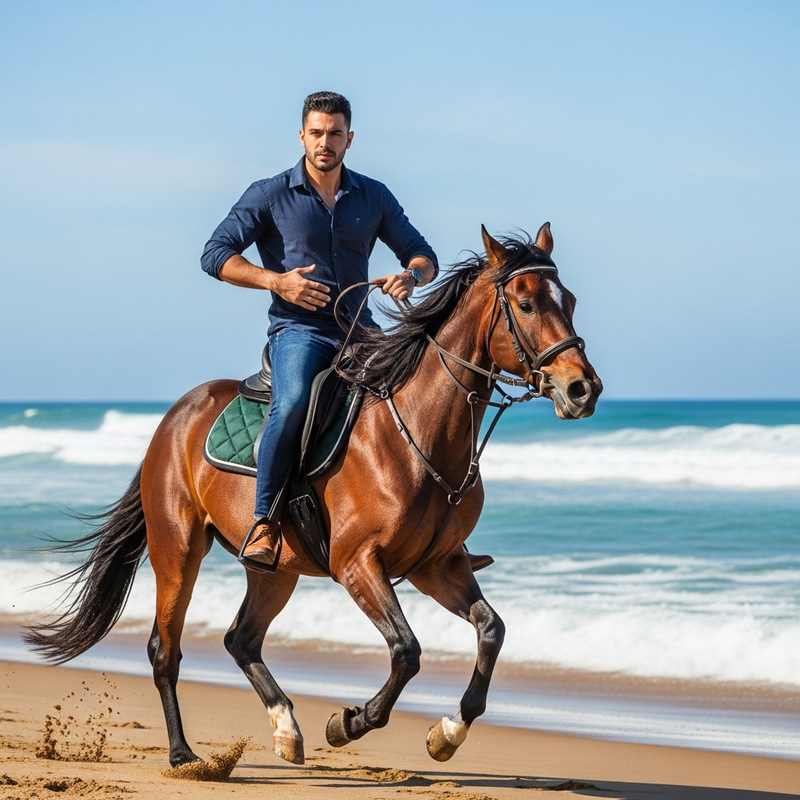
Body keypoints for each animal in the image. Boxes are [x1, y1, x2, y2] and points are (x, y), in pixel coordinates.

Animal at [25, 223, 602, 768]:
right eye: (525, 303)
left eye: (570, 300)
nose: (583, 389)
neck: (416, 431)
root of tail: (173, 418)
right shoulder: (357, 562)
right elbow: (406, 650)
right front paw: (349, 723)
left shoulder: (436, 565)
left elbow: (490, 631)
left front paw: (447, 733)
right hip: (178, 549)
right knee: (165, 650)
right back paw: (184, 754)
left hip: (275, 569)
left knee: (240, 638)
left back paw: (286, 728)